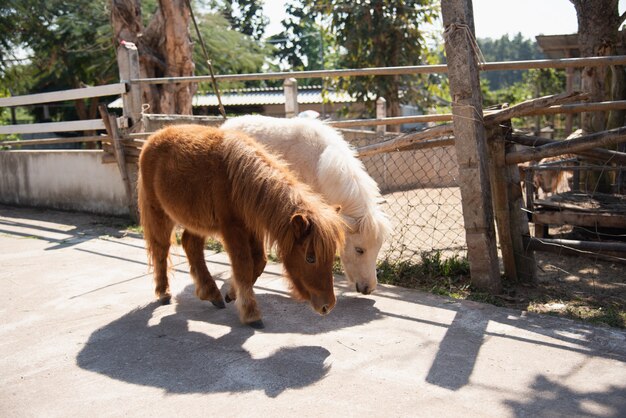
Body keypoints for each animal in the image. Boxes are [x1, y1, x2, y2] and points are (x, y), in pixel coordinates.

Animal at [136, 122, 344, 328]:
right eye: (310, 258)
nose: (328, 306)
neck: (238, 181)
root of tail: (154, 137)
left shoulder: (252, 227)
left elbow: (259, 262)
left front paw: (231, 293)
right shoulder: (232, 229)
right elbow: (243, 265)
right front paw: (251, 313)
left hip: (196, 221)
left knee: (190, 245)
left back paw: (211, 293)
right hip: (159, 213)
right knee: (161, 248)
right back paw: (163, 292)